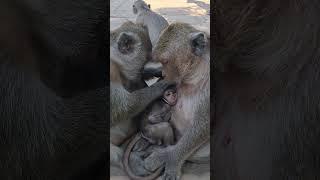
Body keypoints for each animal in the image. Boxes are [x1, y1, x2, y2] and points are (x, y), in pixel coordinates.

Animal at [142, 23, 210, 179]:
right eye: (161, 63)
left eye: (165, 61)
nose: (163, 74)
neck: (194, 73)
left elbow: (203, 123)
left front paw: (170, 157)